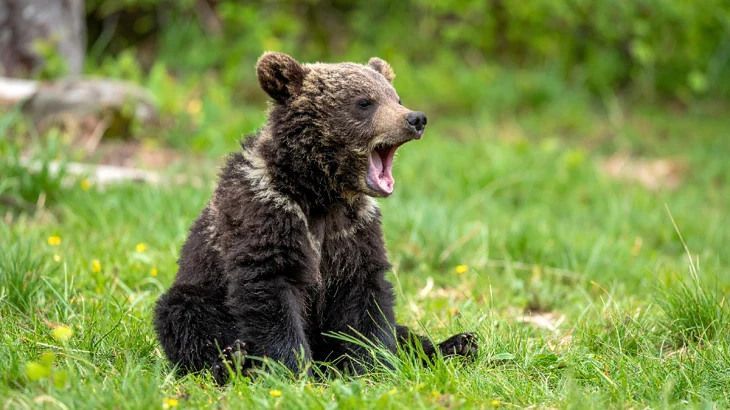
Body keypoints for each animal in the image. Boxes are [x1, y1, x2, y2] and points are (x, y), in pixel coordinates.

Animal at [153, 52, 477, 384]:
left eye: (396, 97)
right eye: (365, 102)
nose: (415, 119)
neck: (319, 194)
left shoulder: (353, 231)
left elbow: (367, 301)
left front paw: (374, 366)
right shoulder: (267, 215)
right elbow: (271, 290)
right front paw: (293, 369)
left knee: (403, 332)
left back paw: (457, 344)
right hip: (199, 292)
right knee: (187, 318)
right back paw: (232, 360)